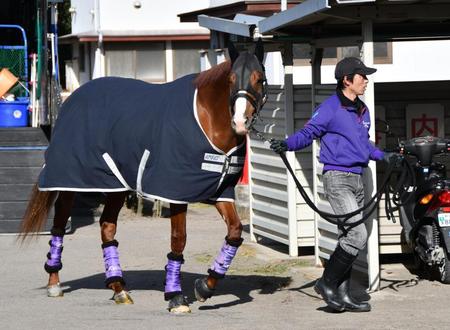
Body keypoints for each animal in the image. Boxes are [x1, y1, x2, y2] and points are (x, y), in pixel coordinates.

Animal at [19, 40, 268, 314]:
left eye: (259, 79)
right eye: (232, 79)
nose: (240, 122)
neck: (206, 118)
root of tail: (71, 99)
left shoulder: (220, 192)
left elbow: (234, 232)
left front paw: (205, 287)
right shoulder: (175, 190)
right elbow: (178, 240)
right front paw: (175, 296)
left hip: (115, 185)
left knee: (107, 227)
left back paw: (118, 288)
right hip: (70, 182)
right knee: (59, 225)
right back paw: (54, 283)